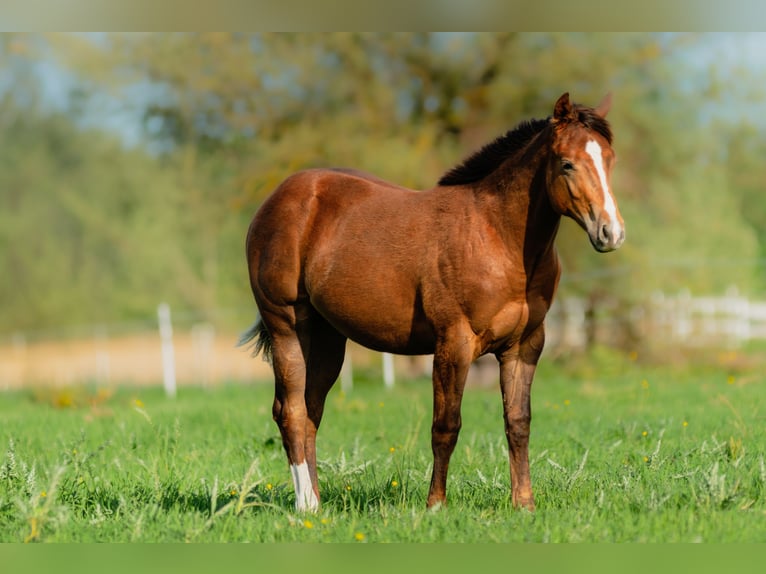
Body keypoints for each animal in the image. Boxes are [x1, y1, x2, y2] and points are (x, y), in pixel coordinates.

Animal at [241, 92, 624, 512]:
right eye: (567, 163)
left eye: (609, 159)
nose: (611, 232)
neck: (495, 234)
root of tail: (278, 199)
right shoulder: (454, 344)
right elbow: (446, 426)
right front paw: (435, 505)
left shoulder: (524, 346)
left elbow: (518, 422)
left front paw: (524, 504)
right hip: (288, 328)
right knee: (292, 411)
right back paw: (306, 505)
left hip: (328, 339)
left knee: (311, 411)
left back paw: (318, 503)